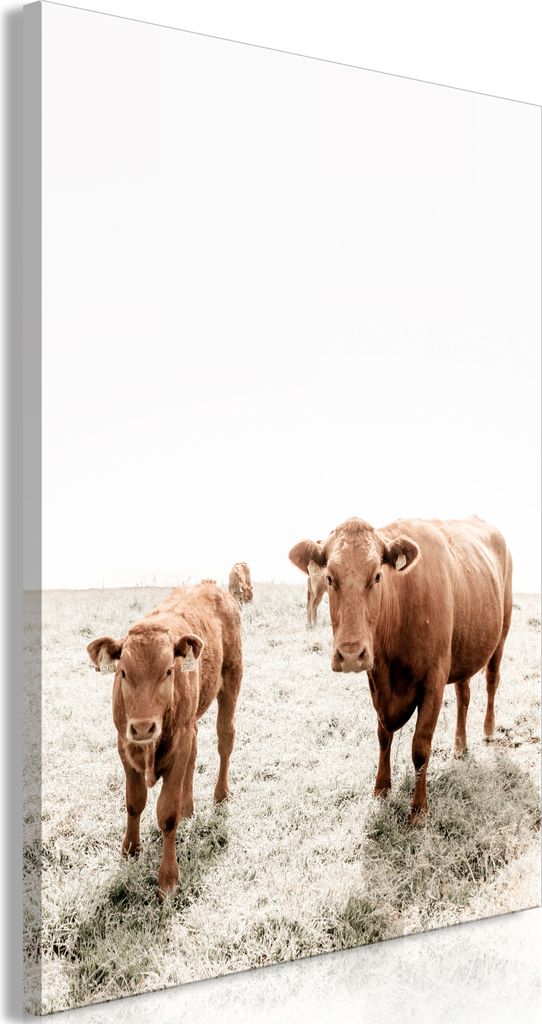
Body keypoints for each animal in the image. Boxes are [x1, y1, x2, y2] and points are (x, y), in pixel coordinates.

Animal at [87, 581, 243, 896]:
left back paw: (220, 794)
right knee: (195, 753)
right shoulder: (124, 744)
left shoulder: (177, 744)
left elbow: (167, 814)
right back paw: (188, 807)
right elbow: (134, 802)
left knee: (225, 739)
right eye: (123, 673)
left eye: (168, 671)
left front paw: (168, 878)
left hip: (232, 681)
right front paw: (130, 849)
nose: (143, 727)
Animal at [289, 516, 512, 823]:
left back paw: (488, 730)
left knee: (492, 681)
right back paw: (459, 746)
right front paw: (381, 788)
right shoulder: (378, 682)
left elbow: (420, 747)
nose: (350, 654)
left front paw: (418, 810)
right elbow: (383, 737)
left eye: (377, 576)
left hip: (501, 634)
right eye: (330, 578)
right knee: (463, 697)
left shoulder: (433, 682)